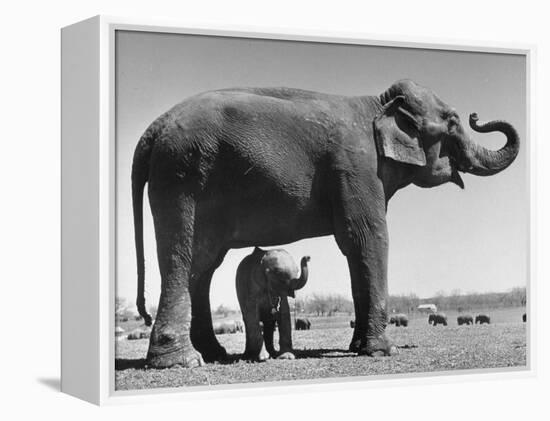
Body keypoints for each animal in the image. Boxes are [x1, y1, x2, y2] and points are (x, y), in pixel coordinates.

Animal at [134, 79, 520, 368]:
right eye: (452, 122)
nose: (476, 114)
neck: (378, 103)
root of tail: (152, 130)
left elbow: (353, 246)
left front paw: (358, 347)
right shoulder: (356, 167)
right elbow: (368, 237)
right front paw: (383, 351)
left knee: (204, 265)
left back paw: (214, 354)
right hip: (182, 178)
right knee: (183, 258)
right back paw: (182, 362)